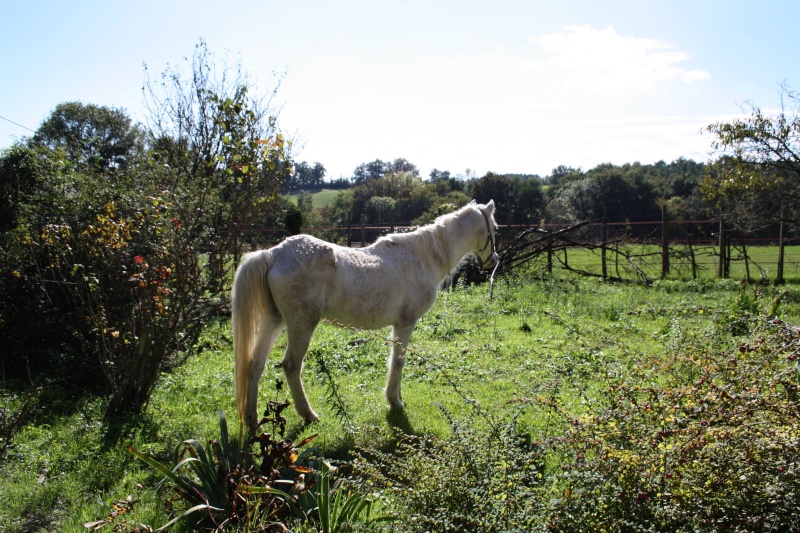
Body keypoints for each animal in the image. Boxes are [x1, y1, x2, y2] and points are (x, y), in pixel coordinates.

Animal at [231, 200, 496, 432]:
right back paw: (308, 414)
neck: (423, 257)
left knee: (255, 364)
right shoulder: (406, 323)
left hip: (274, 321)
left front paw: (396, 396)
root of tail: (273, 254)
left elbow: (395, 360)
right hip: (301, 325)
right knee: (291, 366)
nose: (493, 261)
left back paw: (252, 421)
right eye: (494, 227)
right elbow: (398, 361)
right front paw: (395, 402)